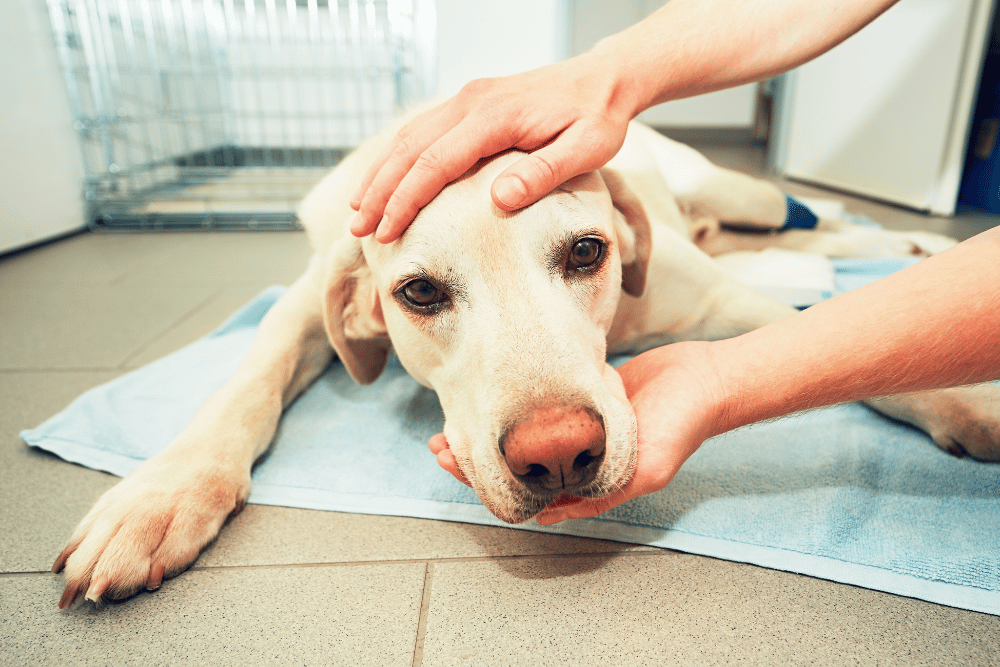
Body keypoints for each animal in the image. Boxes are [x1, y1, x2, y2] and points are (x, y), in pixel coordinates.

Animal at [52, 117, 1000, 608]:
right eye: (419, 292)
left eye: (586, 251)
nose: (559, 453)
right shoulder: (304, 296)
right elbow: (246, 379)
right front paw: (160, 496)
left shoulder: (724, 303)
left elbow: (860, 339)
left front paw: (970, 399)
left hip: (742, 192)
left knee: (808, 218)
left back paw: (902, 239)